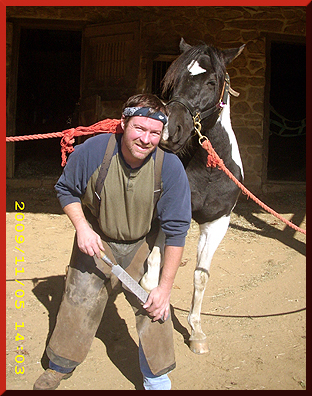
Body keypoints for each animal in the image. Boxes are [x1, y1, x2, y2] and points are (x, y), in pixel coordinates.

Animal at [140, 38, 245, 354]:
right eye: (174, 82)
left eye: (212, 82)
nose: (170, 130)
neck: (208, 168)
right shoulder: (175, 216)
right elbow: (158, 264)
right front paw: (149, 289)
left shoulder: (217, 223)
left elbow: (200, 275)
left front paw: (196, 331)